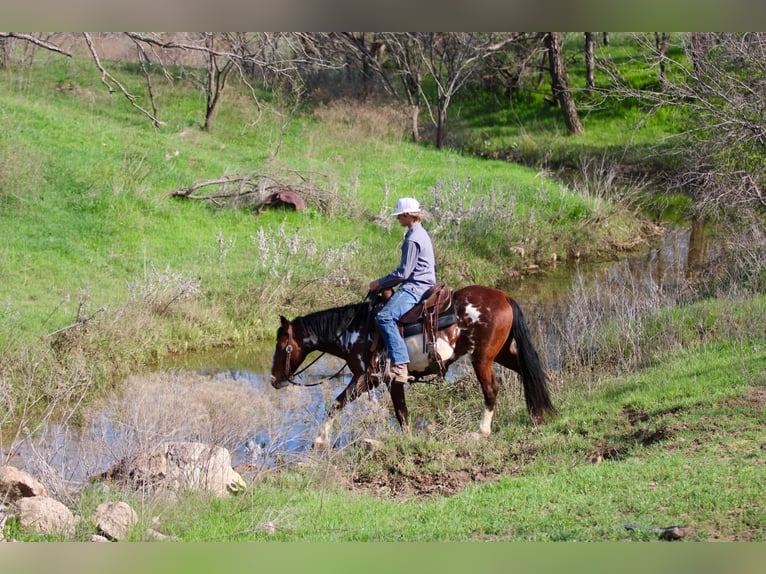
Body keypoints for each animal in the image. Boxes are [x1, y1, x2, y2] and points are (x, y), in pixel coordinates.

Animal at [270, 284, 555, 448]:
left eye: (282, 345)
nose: (273, 379)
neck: (355, 330)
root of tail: (504, 297)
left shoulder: (366, 378)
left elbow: (337, 404)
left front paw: (320, 439)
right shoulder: (391, 381)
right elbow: (402, 412)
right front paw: (407, 438)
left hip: (482, 358)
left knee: (491, 389)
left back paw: (482, 431)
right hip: (502, 353)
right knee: (528, 371)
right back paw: (538, 415)